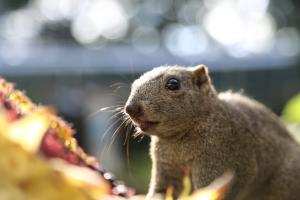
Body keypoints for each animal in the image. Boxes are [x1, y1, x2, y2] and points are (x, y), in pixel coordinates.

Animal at [124, 65, 300, 199]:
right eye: (133, 84)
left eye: (173, 84)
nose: (130, 108)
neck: (177, 139)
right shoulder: (166, 165)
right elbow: (162, 190)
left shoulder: (221, 158)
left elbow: (210, 190)